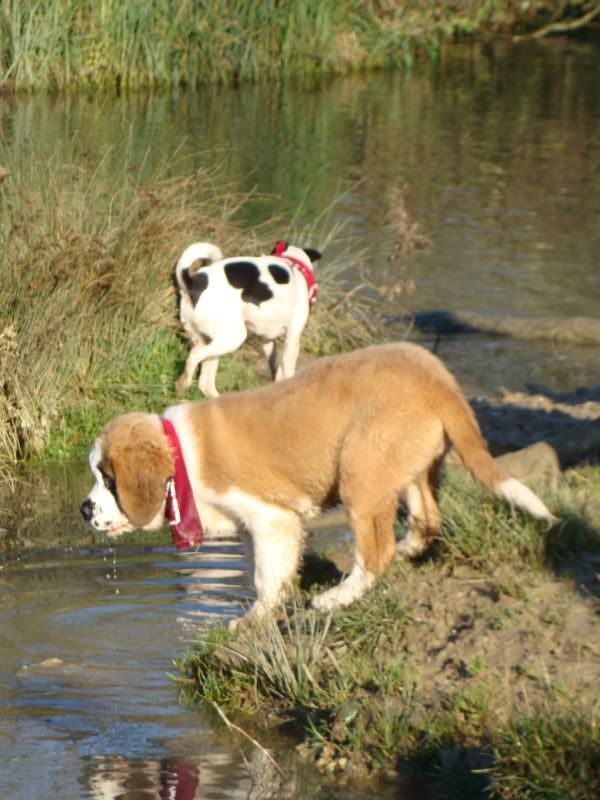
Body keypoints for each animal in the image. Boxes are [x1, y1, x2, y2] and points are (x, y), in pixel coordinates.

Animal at [81, 342, 556, 624]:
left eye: (108, 479)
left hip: (361, 472)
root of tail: (438, 380)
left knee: (376, 552)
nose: (84, 510)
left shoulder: (271, 518)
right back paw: (408, 549)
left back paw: (338, 597)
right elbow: (273, 571)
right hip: (409, 468)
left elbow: (266, 576)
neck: (181, 456)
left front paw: (252, 620)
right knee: (427, 518)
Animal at [172, 239, 322, 398]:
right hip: (233, 338)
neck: (293, 262)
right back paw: (183, 383)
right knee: (194, 356)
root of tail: (191, 284)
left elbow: (275, 366)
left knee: (205, 382)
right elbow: (288, 370)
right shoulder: (292, 339)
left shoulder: (267, 340)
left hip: (210, 342)